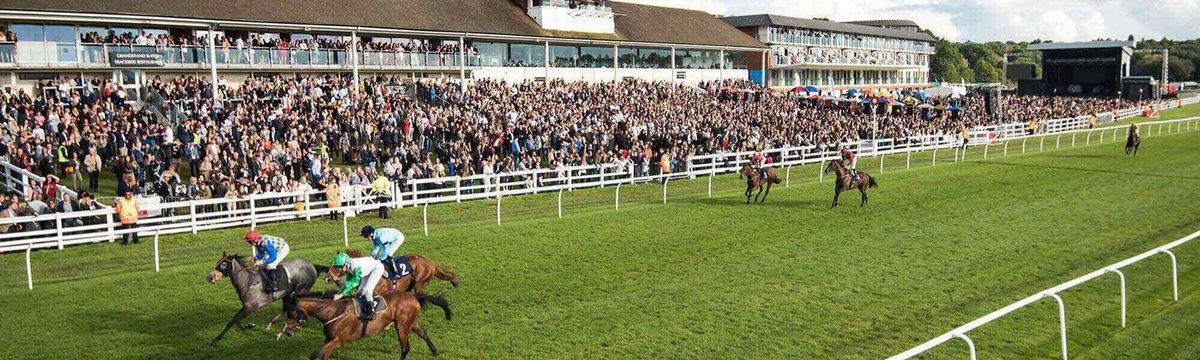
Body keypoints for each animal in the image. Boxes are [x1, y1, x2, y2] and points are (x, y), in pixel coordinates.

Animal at [285, 291, 451, 360]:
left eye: (292, 313)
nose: (286, 332)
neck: (332, 312)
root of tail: (413, 295)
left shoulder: (339, 340)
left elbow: (315, 354)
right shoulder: (329, 340)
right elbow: (324, 354)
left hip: (401, 325)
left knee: (405, 347)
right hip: (410, 322)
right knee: (423, 333)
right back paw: (435, 351)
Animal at [328, 248, 458, 296]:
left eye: (336, 267)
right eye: (330, 264)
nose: (327, 278)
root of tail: (431, 263)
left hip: (420, 283)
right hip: (409, 285)